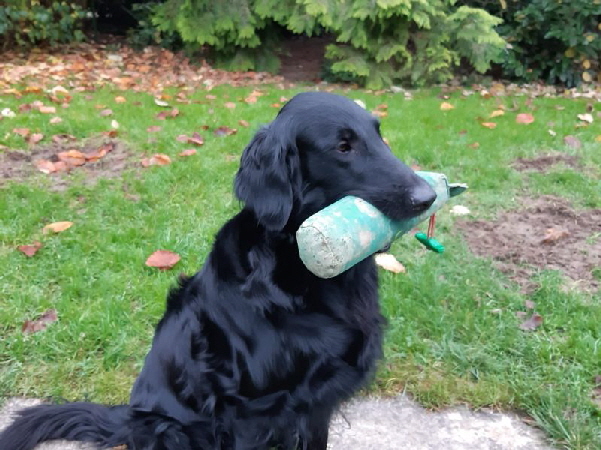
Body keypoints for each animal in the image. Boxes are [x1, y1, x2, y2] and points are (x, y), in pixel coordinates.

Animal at [0, 91, 436, 450]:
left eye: (379, 136)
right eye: (343, 146)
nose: (428, 196)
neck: (306, 275)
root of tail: (128, 416)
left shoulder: (318, 406)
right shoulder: (251, 413)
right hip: (172, 429)